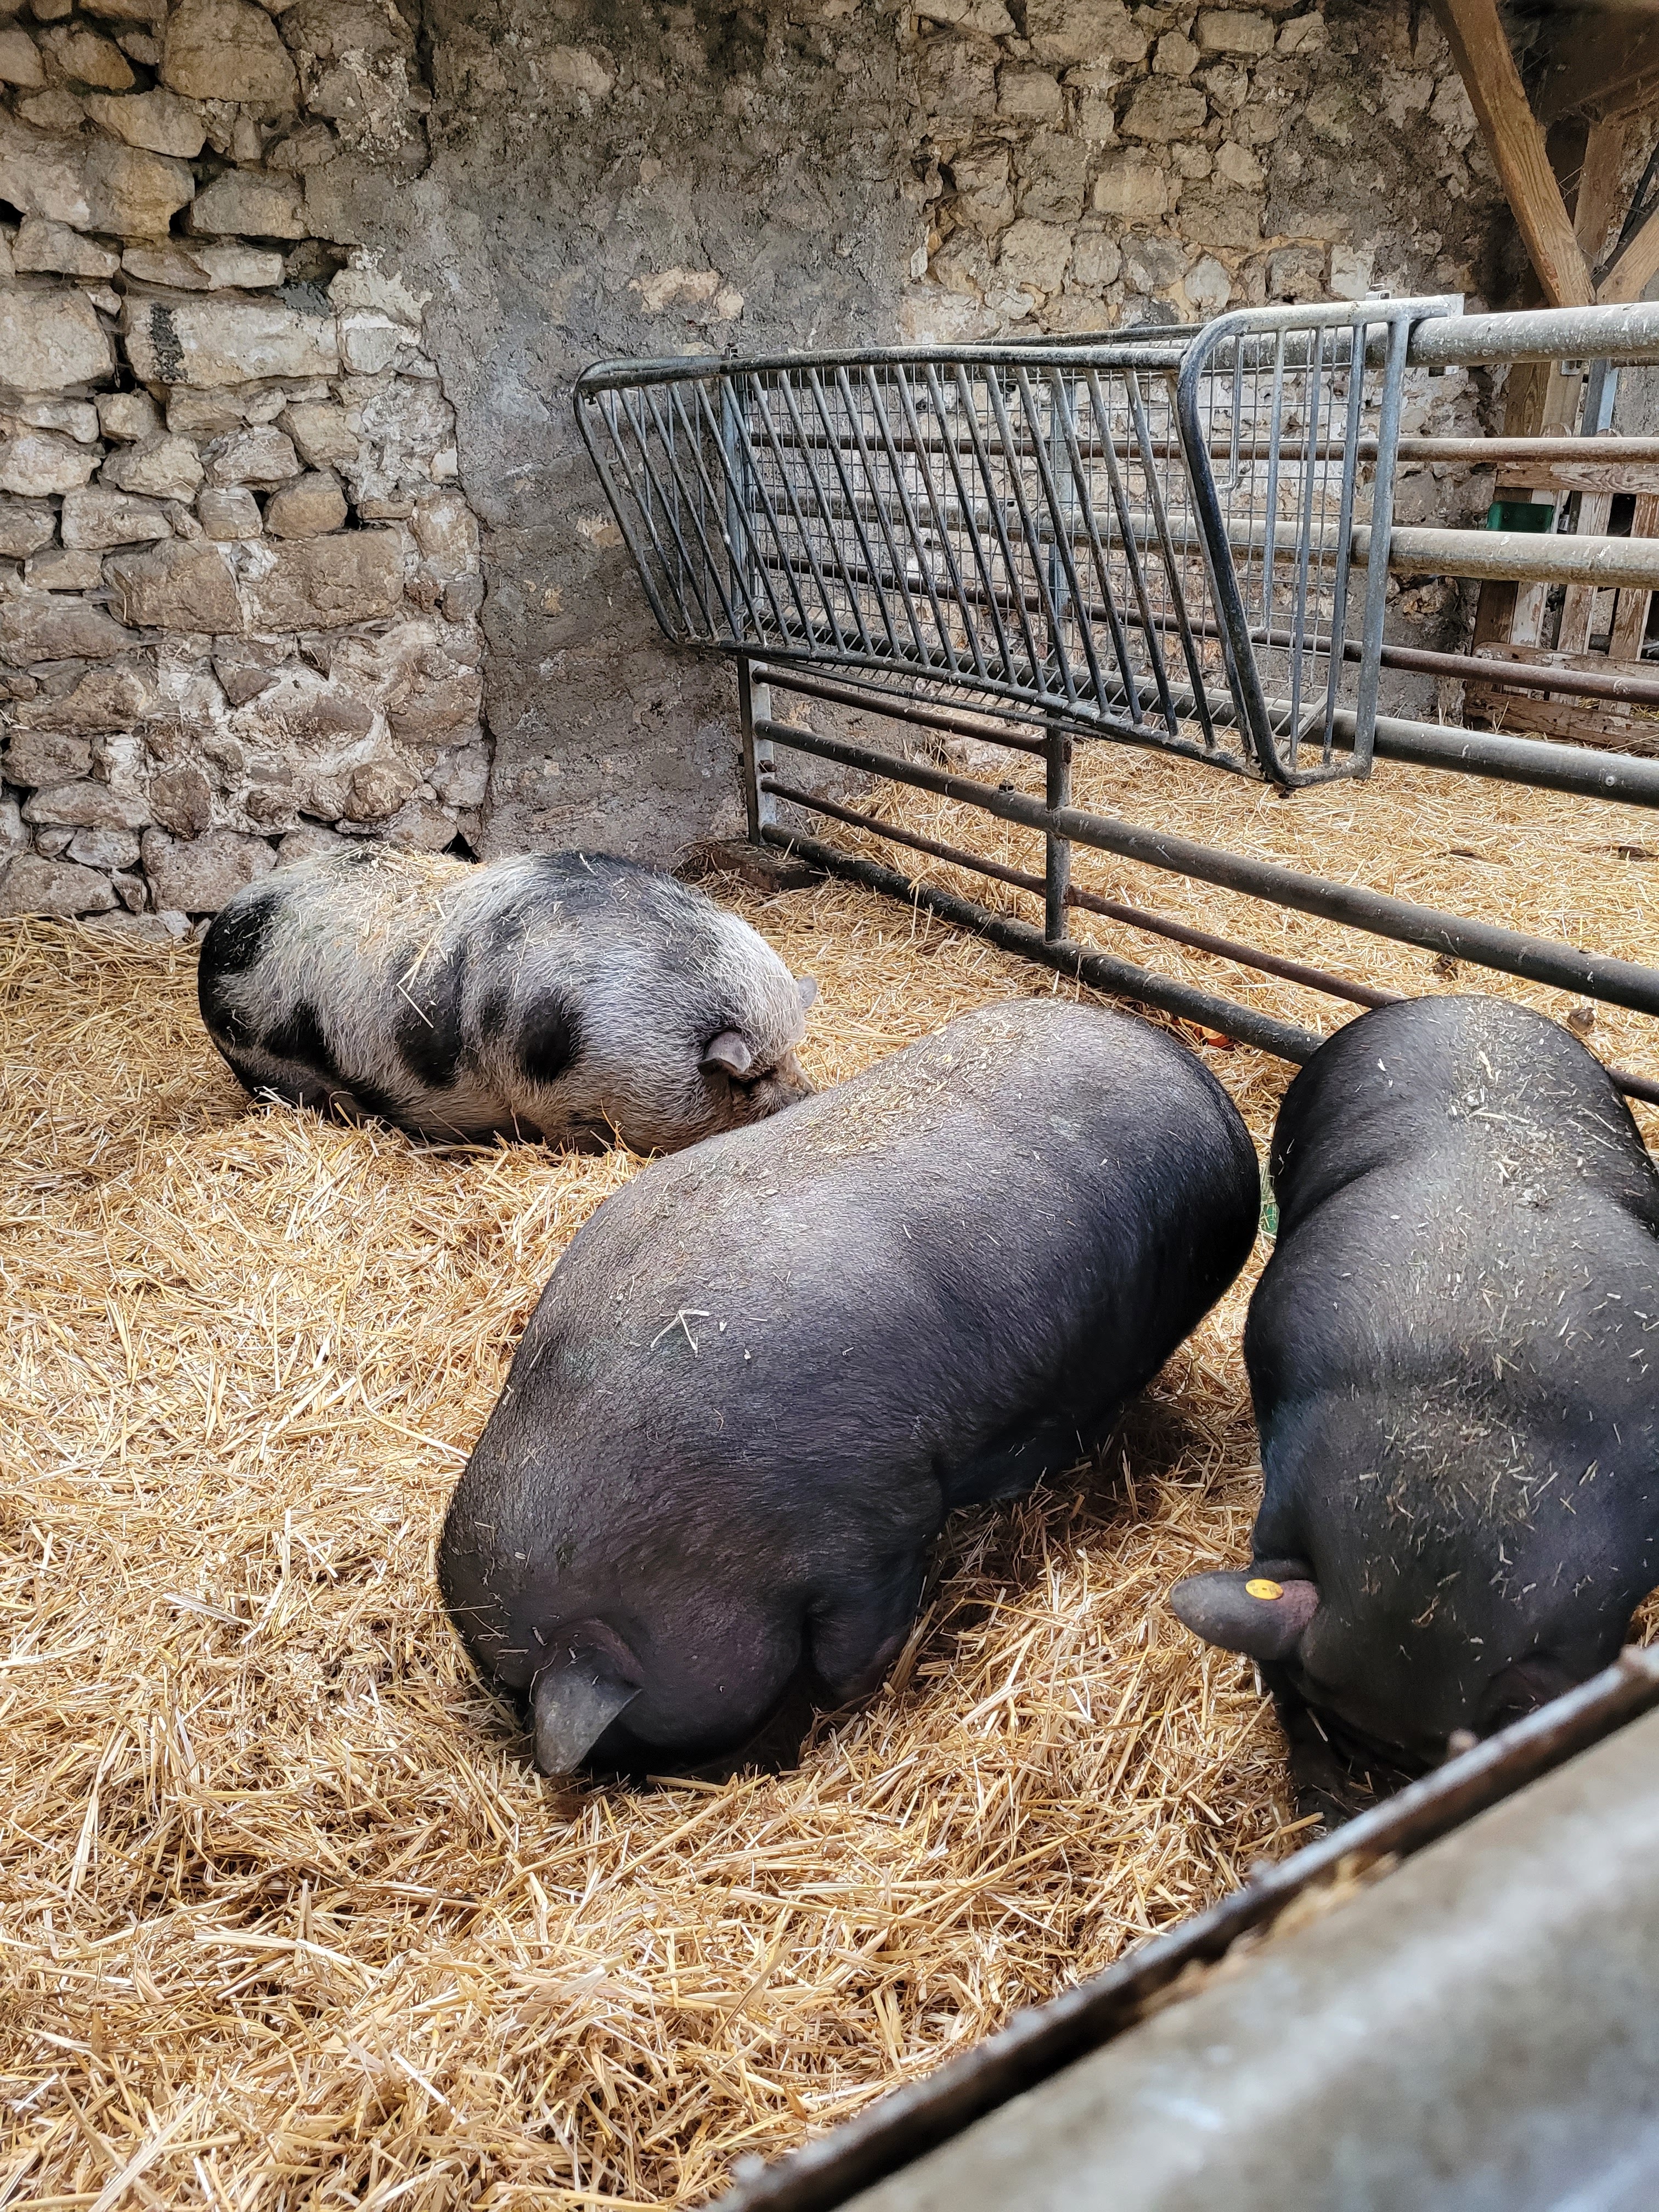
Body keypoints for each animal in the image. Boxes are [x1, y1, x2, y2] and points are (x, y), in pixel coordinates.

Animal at [197, 846, 816, 1153]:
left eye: (792, 1052)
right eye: (753, 1077)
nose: (808, 1098)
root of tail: (217, 936)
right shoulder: (564, 1105)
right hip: (271, 1067)